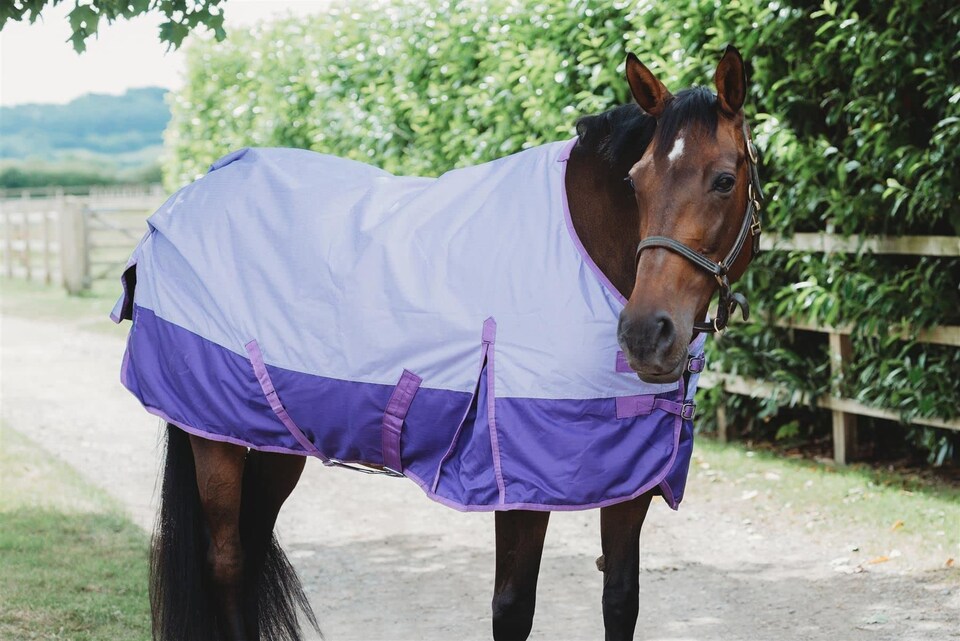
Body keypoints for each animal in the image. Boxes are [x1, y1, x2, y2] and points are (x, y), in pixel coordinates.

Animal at [115, 45, 762, 640]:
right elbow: (513, 610)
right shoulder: (517, 487)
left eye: (725, 180)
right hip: (211, 436)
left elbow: (620, 602)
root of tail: (194, 190)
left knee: (249, 549)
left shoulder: (631, 480)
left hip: (273, 439)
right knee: (226, 560)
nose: (645, 335)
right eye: (635, 181)